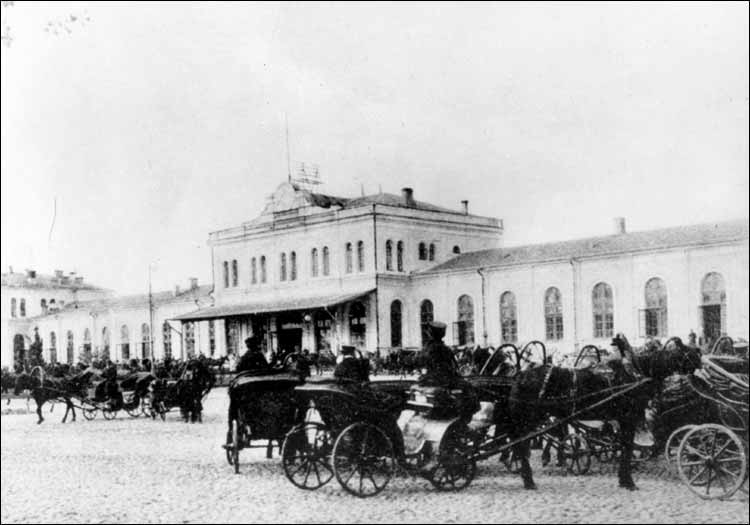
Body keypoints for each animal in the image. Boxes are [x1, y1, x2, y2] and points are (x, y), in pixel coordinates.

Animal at [506, 334, 704, 490]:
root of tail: (521, 375)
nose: (702, 362)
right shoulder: (628, 418)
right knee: (521, 445)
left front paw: (623, 479)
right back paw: (529, 479)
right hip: (531, 418)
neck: (635, 373)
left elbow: (623, 446)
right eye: (690, 351)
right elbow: (626, 446)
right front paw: (628, 481)